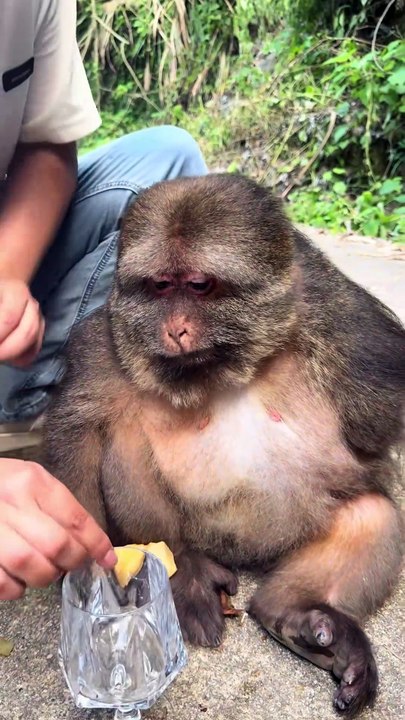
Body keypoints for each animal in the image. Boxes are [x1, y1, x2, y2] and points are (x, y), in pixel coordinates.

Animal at [44, 173, 405, 717]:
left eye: (199, 286)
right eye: (160, 286)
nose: (175, 328)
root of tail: (249, 554)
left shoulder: (350, 324)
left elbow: (377, 427)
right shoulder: (103, 340)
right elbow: (78, 426)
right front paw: (88, 570)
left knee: (371, 515)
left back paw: (296, 615)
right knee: (123, 436)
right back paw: (185, 569)